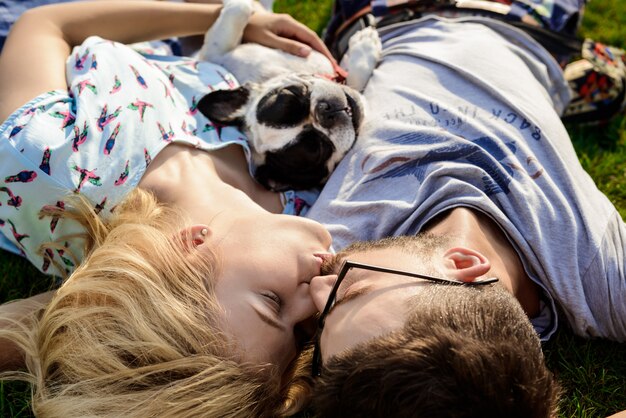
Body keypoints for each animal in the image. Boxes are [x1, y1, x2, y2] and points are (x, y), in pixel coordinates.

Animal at [195, 0, 380, 191]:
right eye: (317, 148)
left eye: (292, 94)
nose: (324, 111)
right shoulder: (213, 54)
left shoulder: (220, 54)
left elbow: (238, 13)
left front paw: (363, 47)